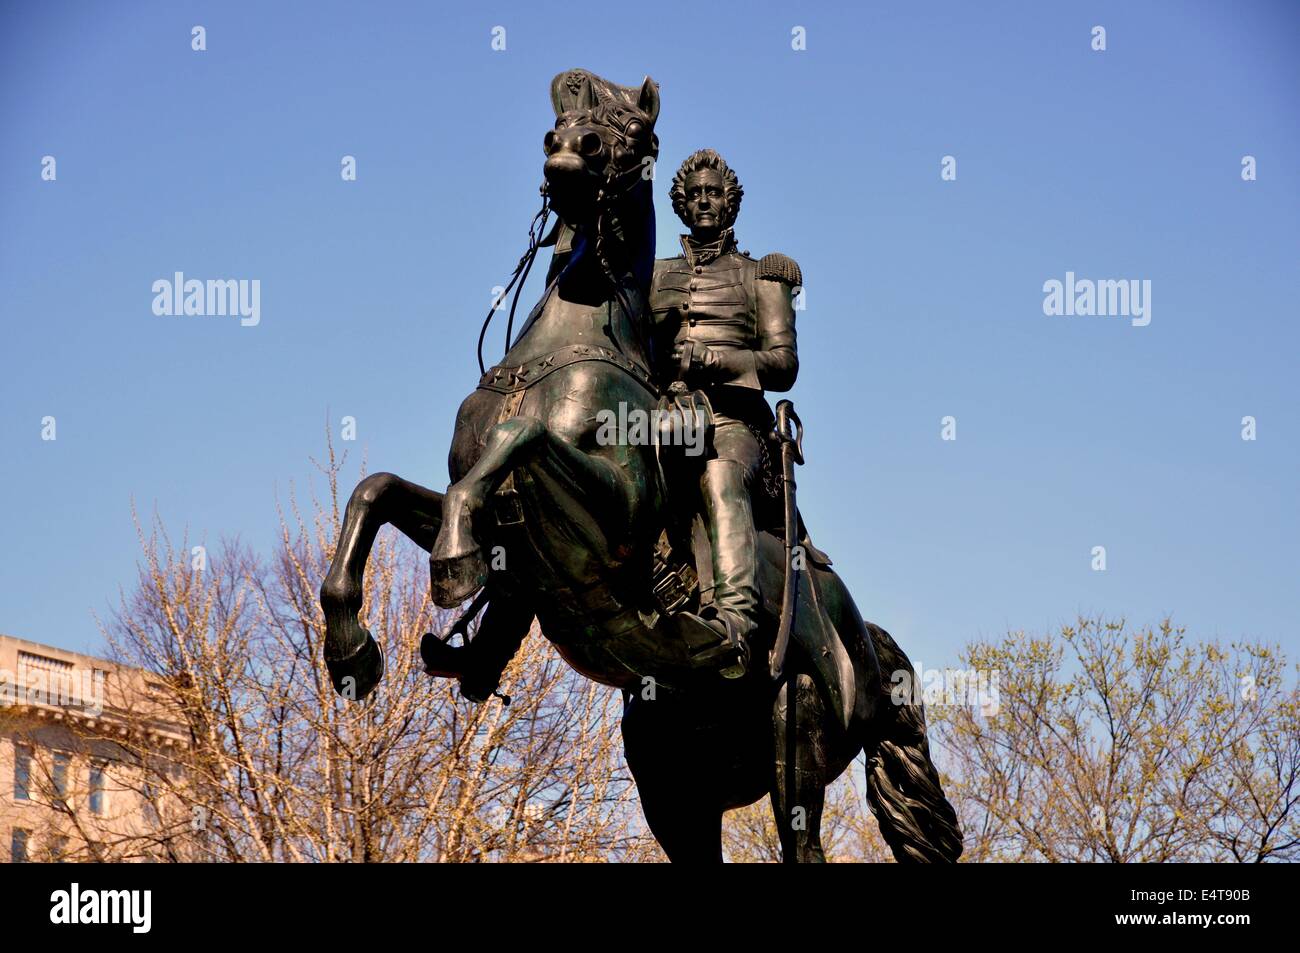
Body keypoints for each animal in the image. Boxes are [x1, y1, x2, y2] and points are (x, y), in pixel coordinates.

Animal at [319, 68, 961, 863]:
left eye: (635, 133)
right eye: (559, 124)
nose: (570, 148)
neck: (569, 345)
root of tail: (864, 635)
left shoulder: (615, 520)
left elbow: (519, 441)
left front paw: (454, 560)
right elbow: (375, 491)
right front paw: (351, 650)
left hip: (798, 734)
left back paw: (726, 629)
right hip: (674, 778)